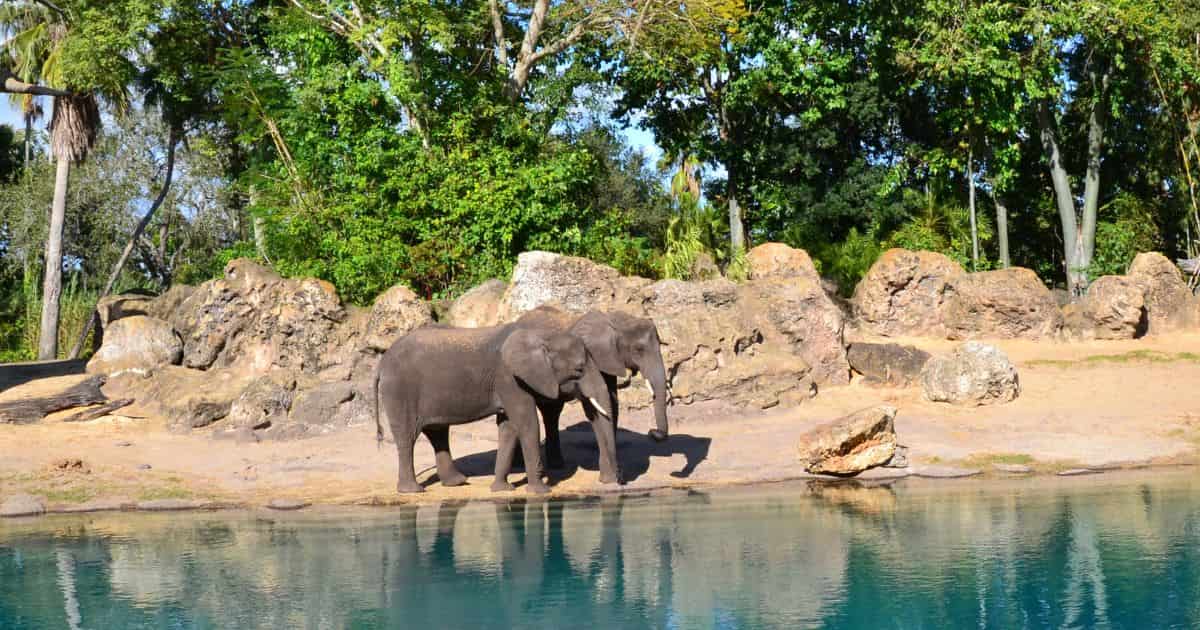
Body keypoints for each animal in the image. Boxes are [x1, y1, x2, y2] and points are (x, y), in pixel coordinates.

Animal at [372, 321, 619, 494]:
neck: (540, 334)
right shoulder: (509, 378)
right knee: (408, 437)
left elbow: (509, 427)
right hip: (400, 392)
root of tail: (381, 364)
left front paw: (502, 489)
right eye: (579, 369)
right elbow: (526, 422)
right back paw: (413, 491)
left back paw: (457, 482)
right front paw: (541, 491)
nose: (610, 482)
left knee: (437, 433)